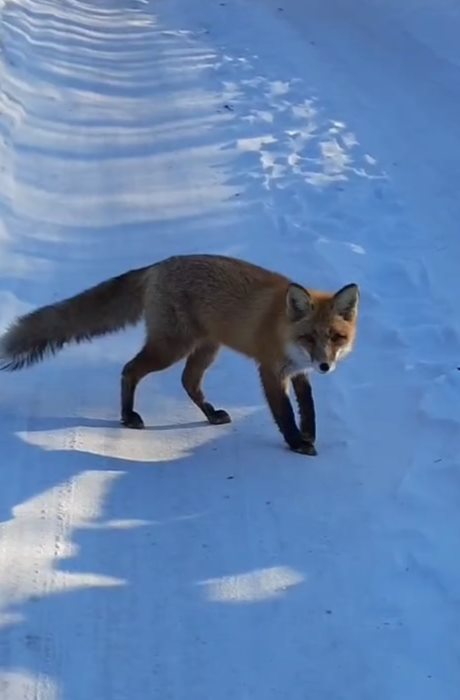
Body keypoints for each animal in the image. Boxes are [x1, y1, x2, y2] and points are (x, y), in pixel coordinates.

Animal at [0, 254, 359, 455]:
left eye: (335, 337)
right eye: (308, 337)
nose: (325, 365)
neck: (282, 327)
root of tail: (158, 266)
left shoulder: (298, 372)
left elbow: (308, 406)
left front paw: (308, 433)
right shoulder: (270, 370)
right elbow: (284, 413)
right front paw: (297, 443)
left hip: (205, 348)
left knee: (188, 383)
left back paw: (211, 414)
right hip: (171, 348)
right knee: (129, 369)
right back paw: (128, 416)